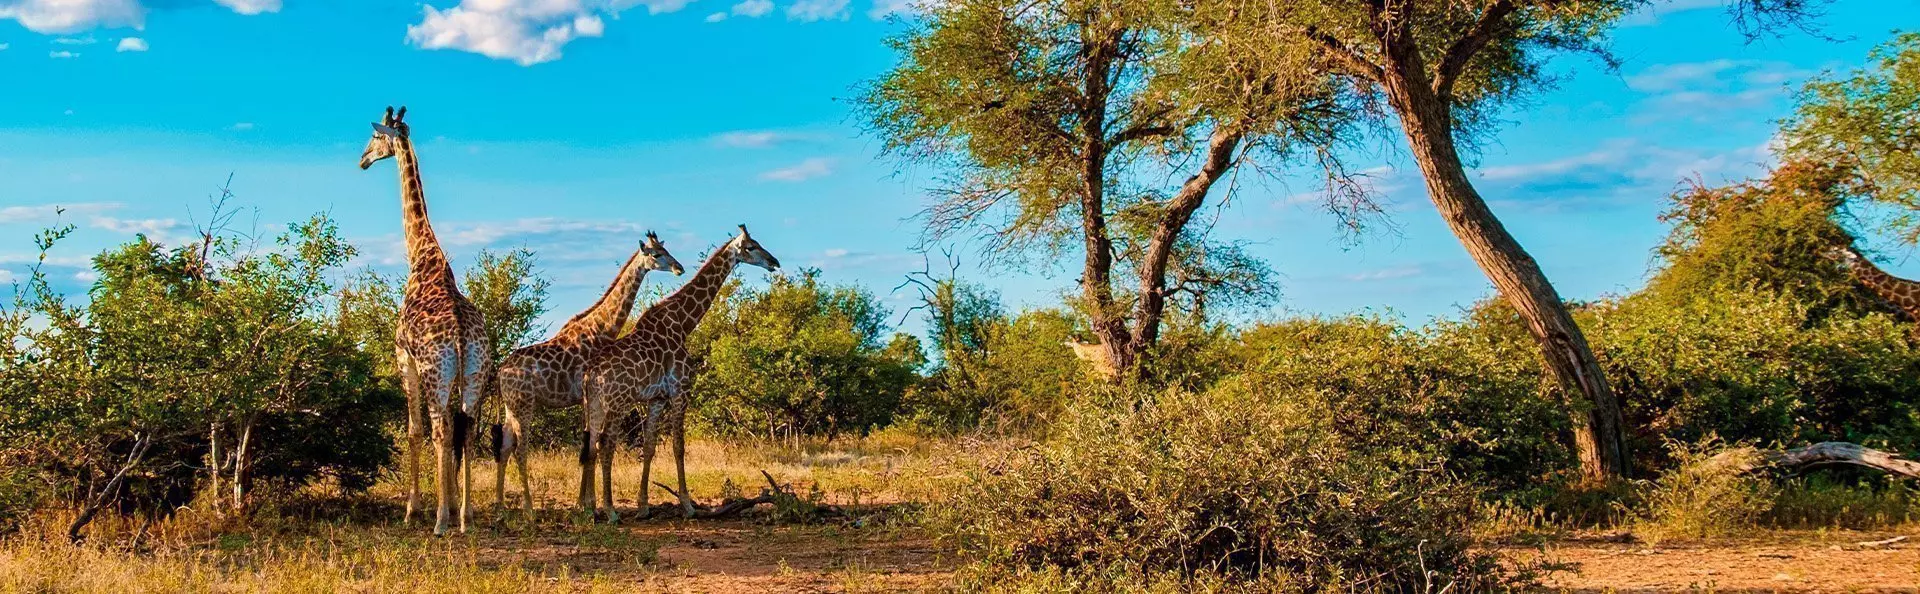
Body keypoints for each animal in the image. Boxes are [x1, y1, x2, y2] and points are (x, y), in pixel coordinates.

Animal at [359, 106, 490, 536]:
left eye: (374, 138)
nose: (362, 159)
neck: (422, 255)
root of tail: (462, 337)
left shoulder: (405, 358)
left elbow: (413, 432)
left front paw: (413, 508)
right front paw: (451, 505)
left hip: (436, 373)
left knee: (439, 430)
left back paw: (439, 520)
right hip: (474, 374)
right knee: (466, 428)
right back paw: (465, 516)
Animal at [491, 232, 683, 520]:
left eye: (666, 248)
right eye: (657, 254)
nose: (678, 268)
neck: (601, 329)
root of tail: (501, 371)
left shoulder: (585, 398)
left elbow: (586, 446)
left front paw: (582, 503)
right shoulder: (587, 395)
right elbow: (588, 446)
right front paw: (588, 505)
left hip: (510, 406)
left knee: (504, 446)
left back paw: (501, 506)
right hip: (524, 405)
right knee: (521, 449)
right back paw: (528, 509)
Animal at [581, 225, 780, 520]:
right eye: (752, 246)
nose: (774, 262)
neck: (684, 323)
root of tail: (591, 374)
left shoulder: (656, 398)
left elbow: (650, 446)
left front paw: (643, 507)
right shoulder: (680, 391)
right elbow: (678, 446)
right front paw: (687, 505)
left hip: (593, 403)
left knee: (592, 443)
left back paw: (591, 509)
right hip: (618, 403)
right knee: (606, 443)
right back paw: (610, 510)